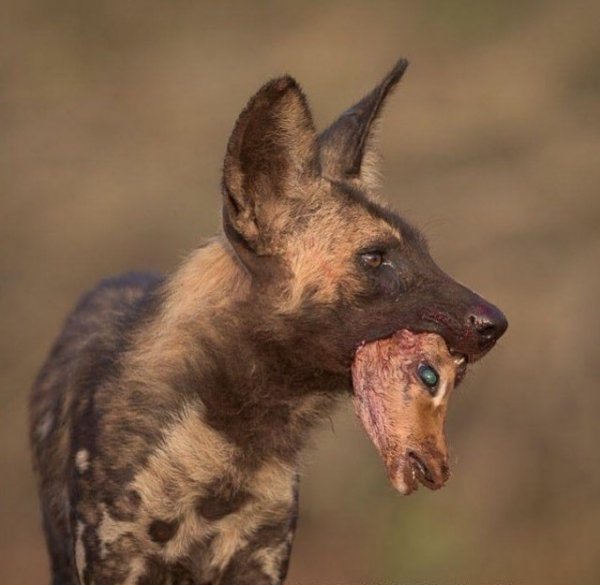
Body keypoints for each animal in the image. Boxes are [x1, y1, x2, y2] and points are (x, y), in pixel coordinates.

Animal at [28, 60, 506, 584]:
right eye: (375, 258)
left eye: (427, 253)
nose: (494, 322)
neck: (234, 442)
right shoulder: (116, 561)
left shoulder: (262, 559)